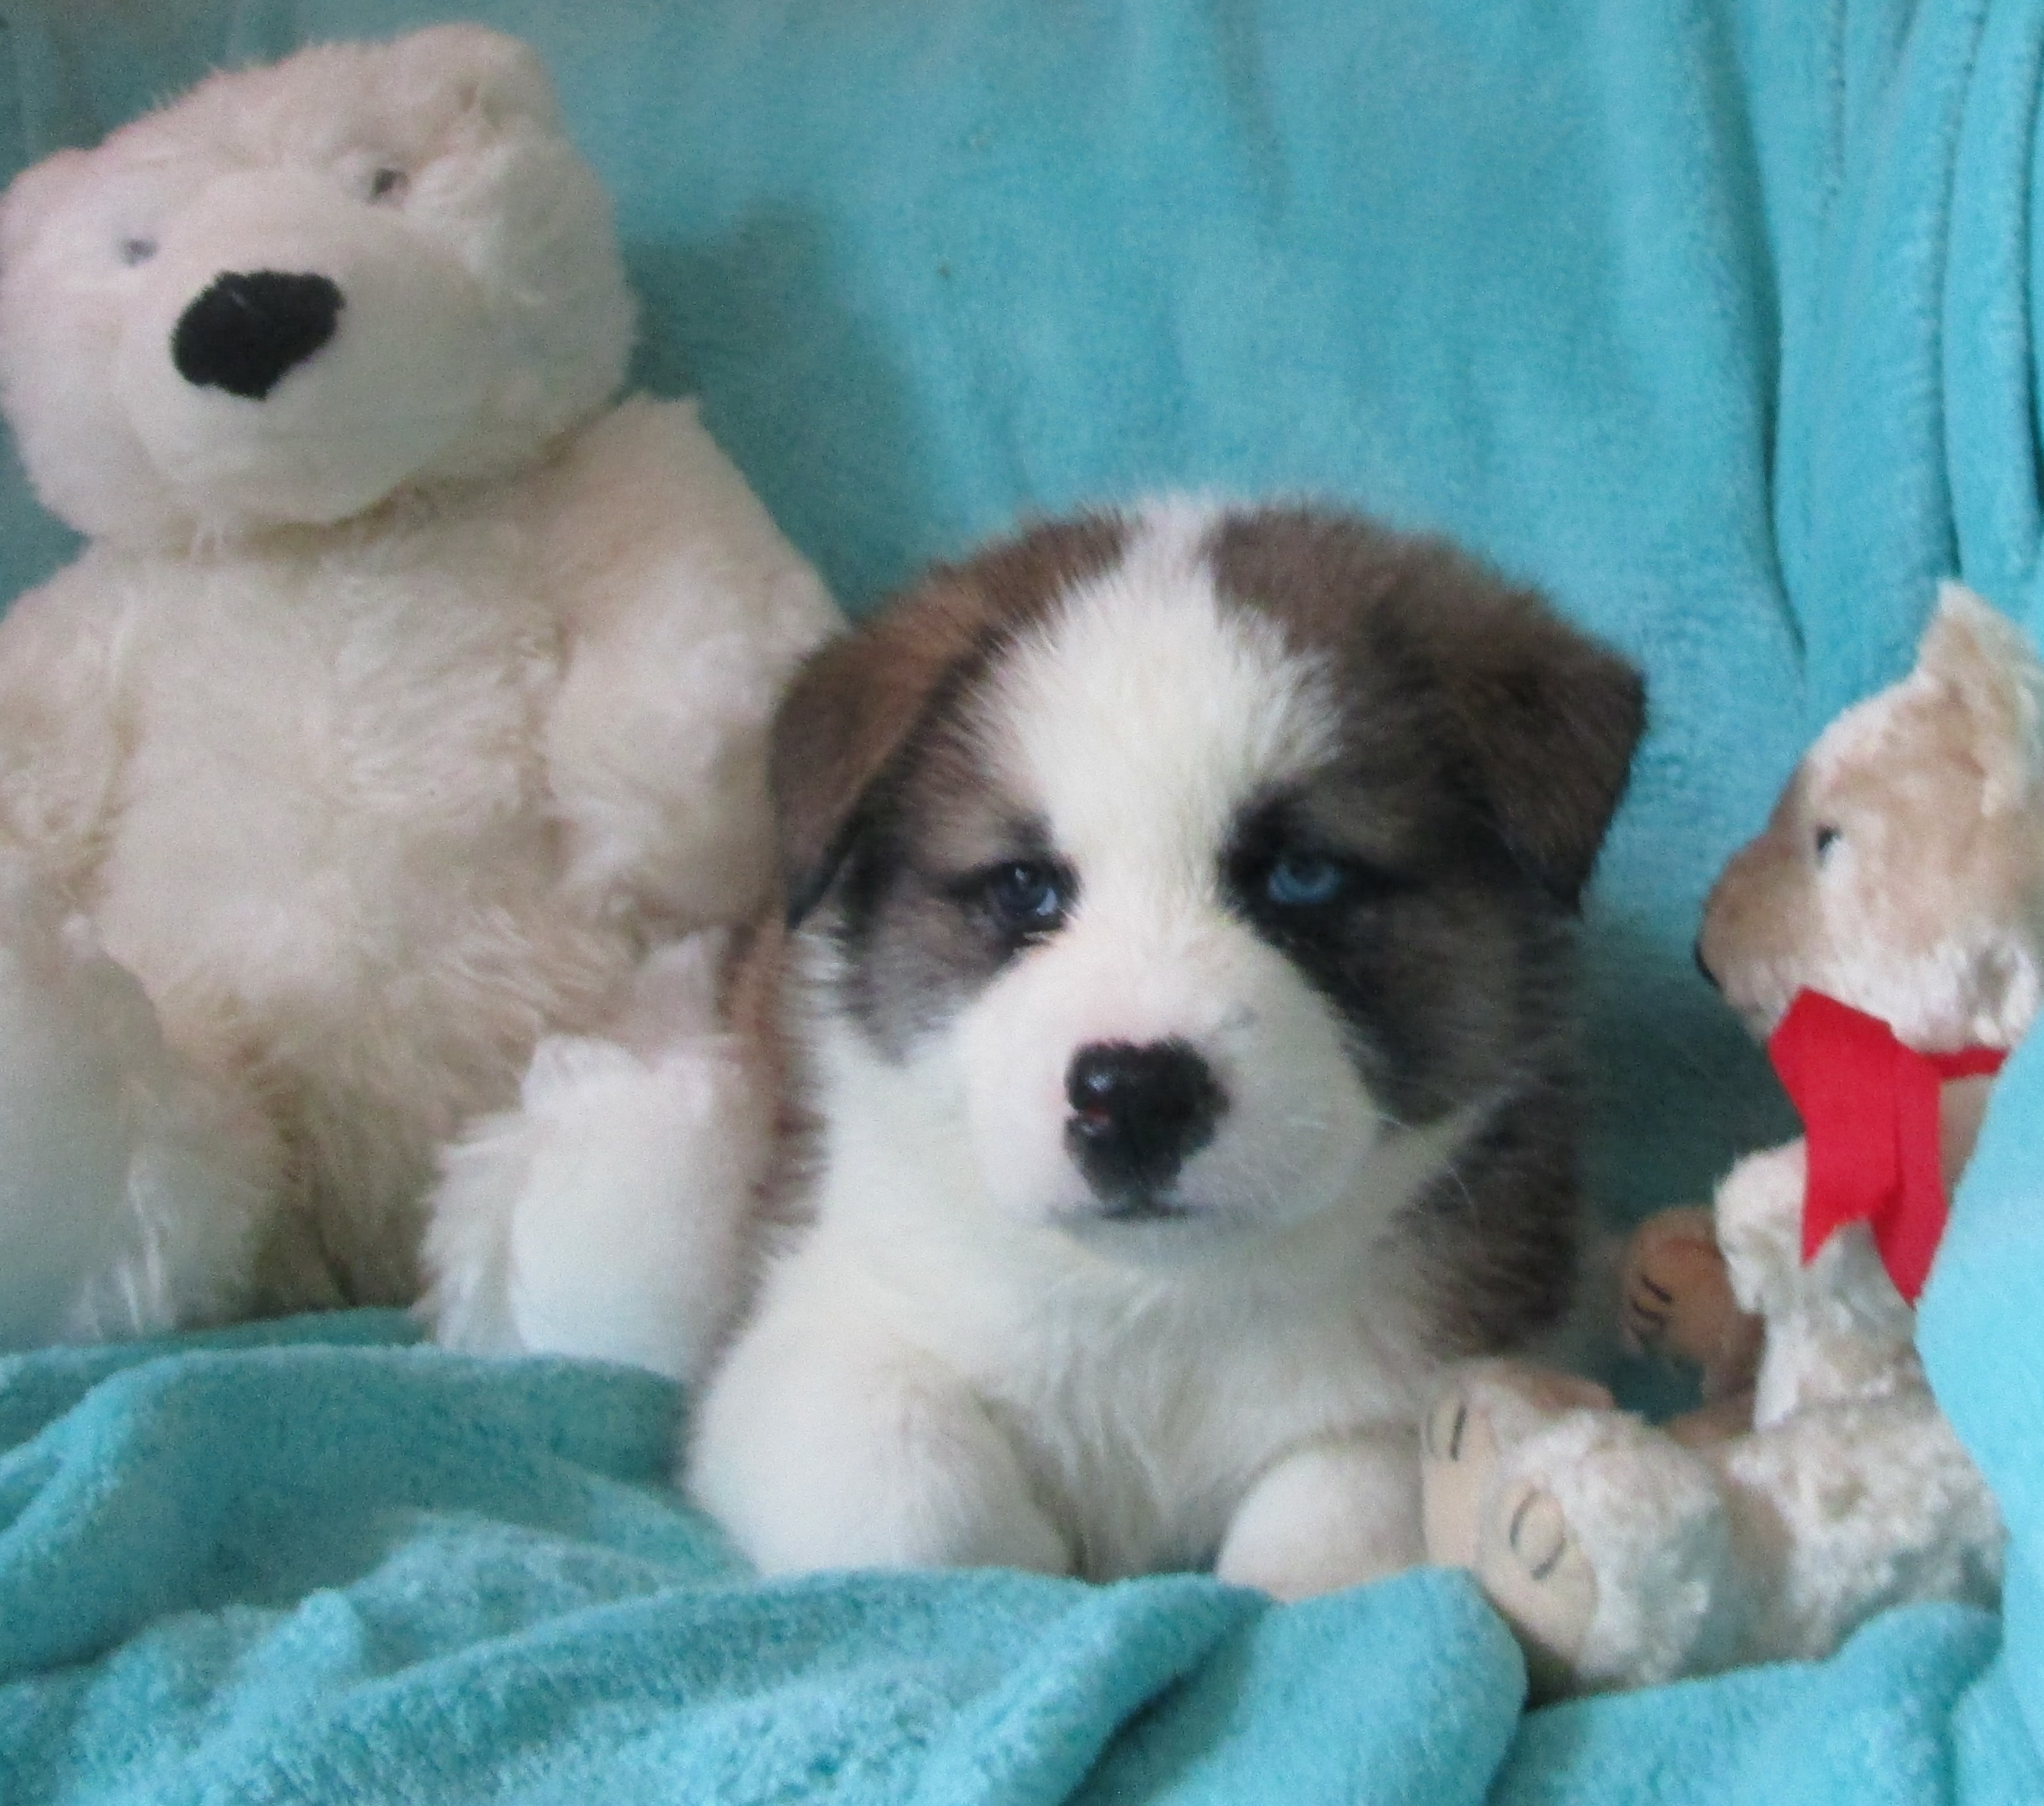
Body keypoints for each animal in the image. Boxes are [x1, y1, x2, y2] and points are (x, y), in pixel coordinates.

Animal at [685, 500, 1645, 1598]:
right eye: (1023, 887)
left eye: (1303, 876)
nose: (1134, 1096)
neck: (1154, 1299)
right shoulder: (809, 1328)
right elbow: (906, 1492)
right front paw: (1029, 1560)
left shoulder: (1467, 1351)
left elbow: (1332, 1534)